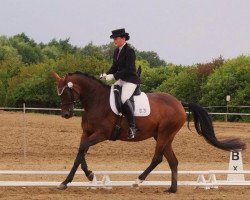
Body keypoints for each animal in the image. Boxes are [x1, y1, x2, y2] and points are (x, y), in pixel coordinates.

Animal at [51, 70, 245, 192]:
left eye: (66, 92)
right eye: (58, 92)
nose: (66, 114)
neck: (96, 101)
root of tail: (179, 103)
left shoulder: (101, 134)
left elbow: (82, 149)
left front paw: (66, 182)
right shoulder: (87, 133)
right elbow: (80, 152)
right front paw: (89, 175)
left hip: (164, 135)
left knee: (158, 158)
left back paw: (138, 180)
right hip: (164, 137)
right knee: (173, 161)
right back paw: (172, 189)